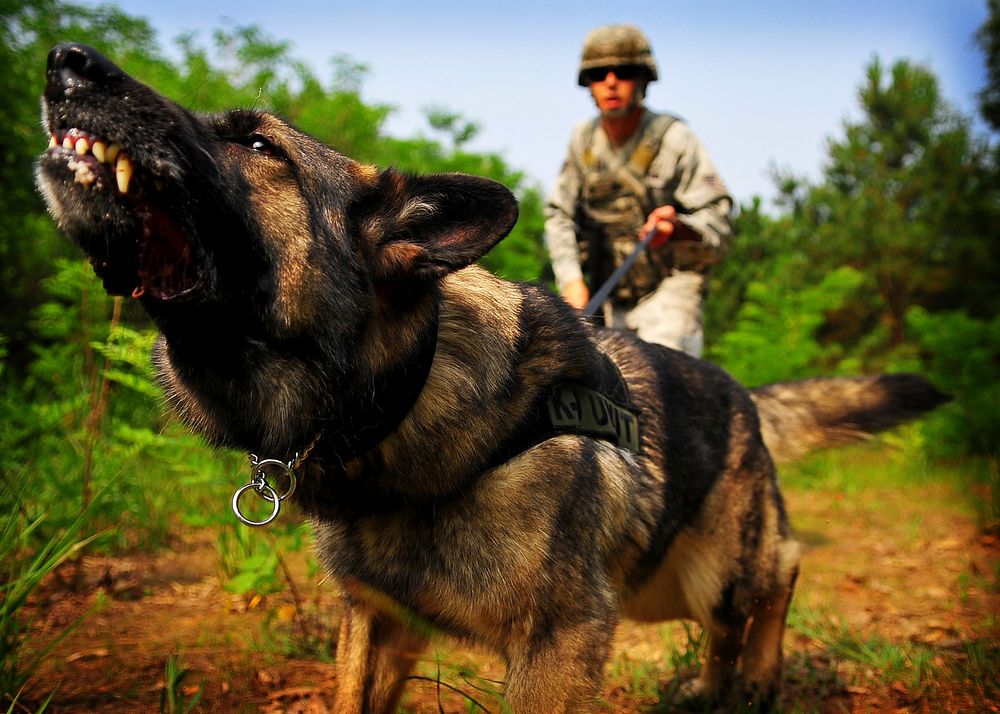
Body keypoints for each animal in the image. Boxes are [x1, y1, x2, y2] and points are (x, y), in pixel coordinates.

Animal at [35, 43, 948, 708]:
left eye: (260, 146)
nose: (67, 61)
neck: (400, 402)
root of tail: (739, 395)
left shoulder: (561, 645)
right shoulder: (378, 624)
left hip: (717, 571)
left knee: (780, 572)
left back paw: (757, 675)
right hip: (659, 583)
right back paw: (716, 688)